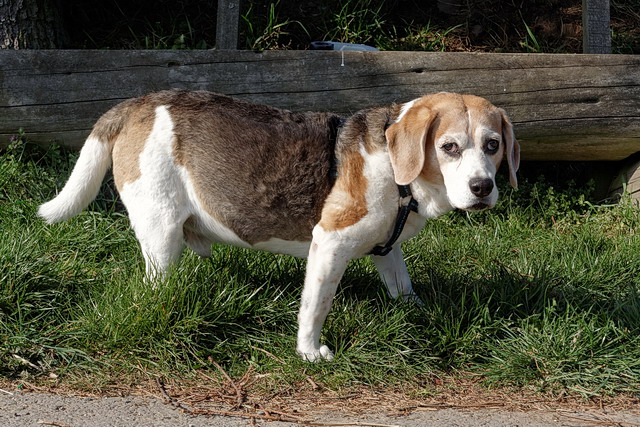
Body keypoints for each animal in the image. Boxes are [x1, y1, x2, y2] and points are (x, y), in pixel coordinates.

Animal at [39, 90, 520, 362]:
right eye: (449, 147)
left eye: (492, 145)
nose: (482, 187)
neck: (395, 170)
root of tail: (135, 104)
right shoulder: (330, 245)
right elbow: (315, 308)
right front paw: (309, 354)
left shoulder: (388, 248)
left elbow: (403, 286)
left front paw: (418, 312)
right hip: (160, 232)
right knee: (156, 282)